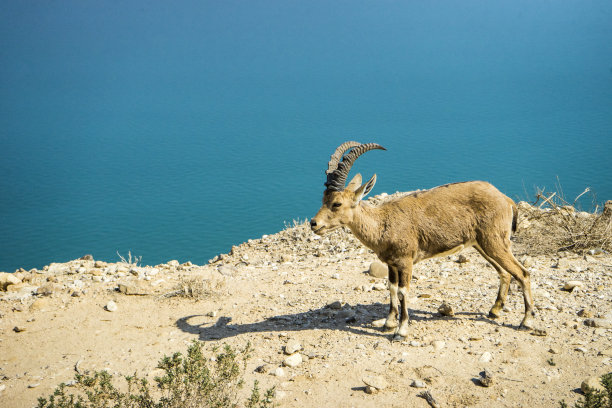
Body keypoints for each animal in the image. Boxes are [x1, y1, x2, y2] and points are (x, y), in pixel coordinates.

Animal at [310, 142, 536, 340]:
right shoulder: (391, 264)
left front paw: (401, 331)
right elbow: (392, 289)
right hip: (483, 244)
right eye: (323, 200)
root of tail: (505, 199)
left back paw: (526, 322)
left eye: (337, 204)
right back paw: (495, 310)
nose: (313, 223)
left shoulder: (406, 261)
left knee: (523, 273)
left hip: (494, 241)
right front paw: (388, 324)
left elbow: (403, 292)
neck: (383, 224)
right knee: (505, 273)